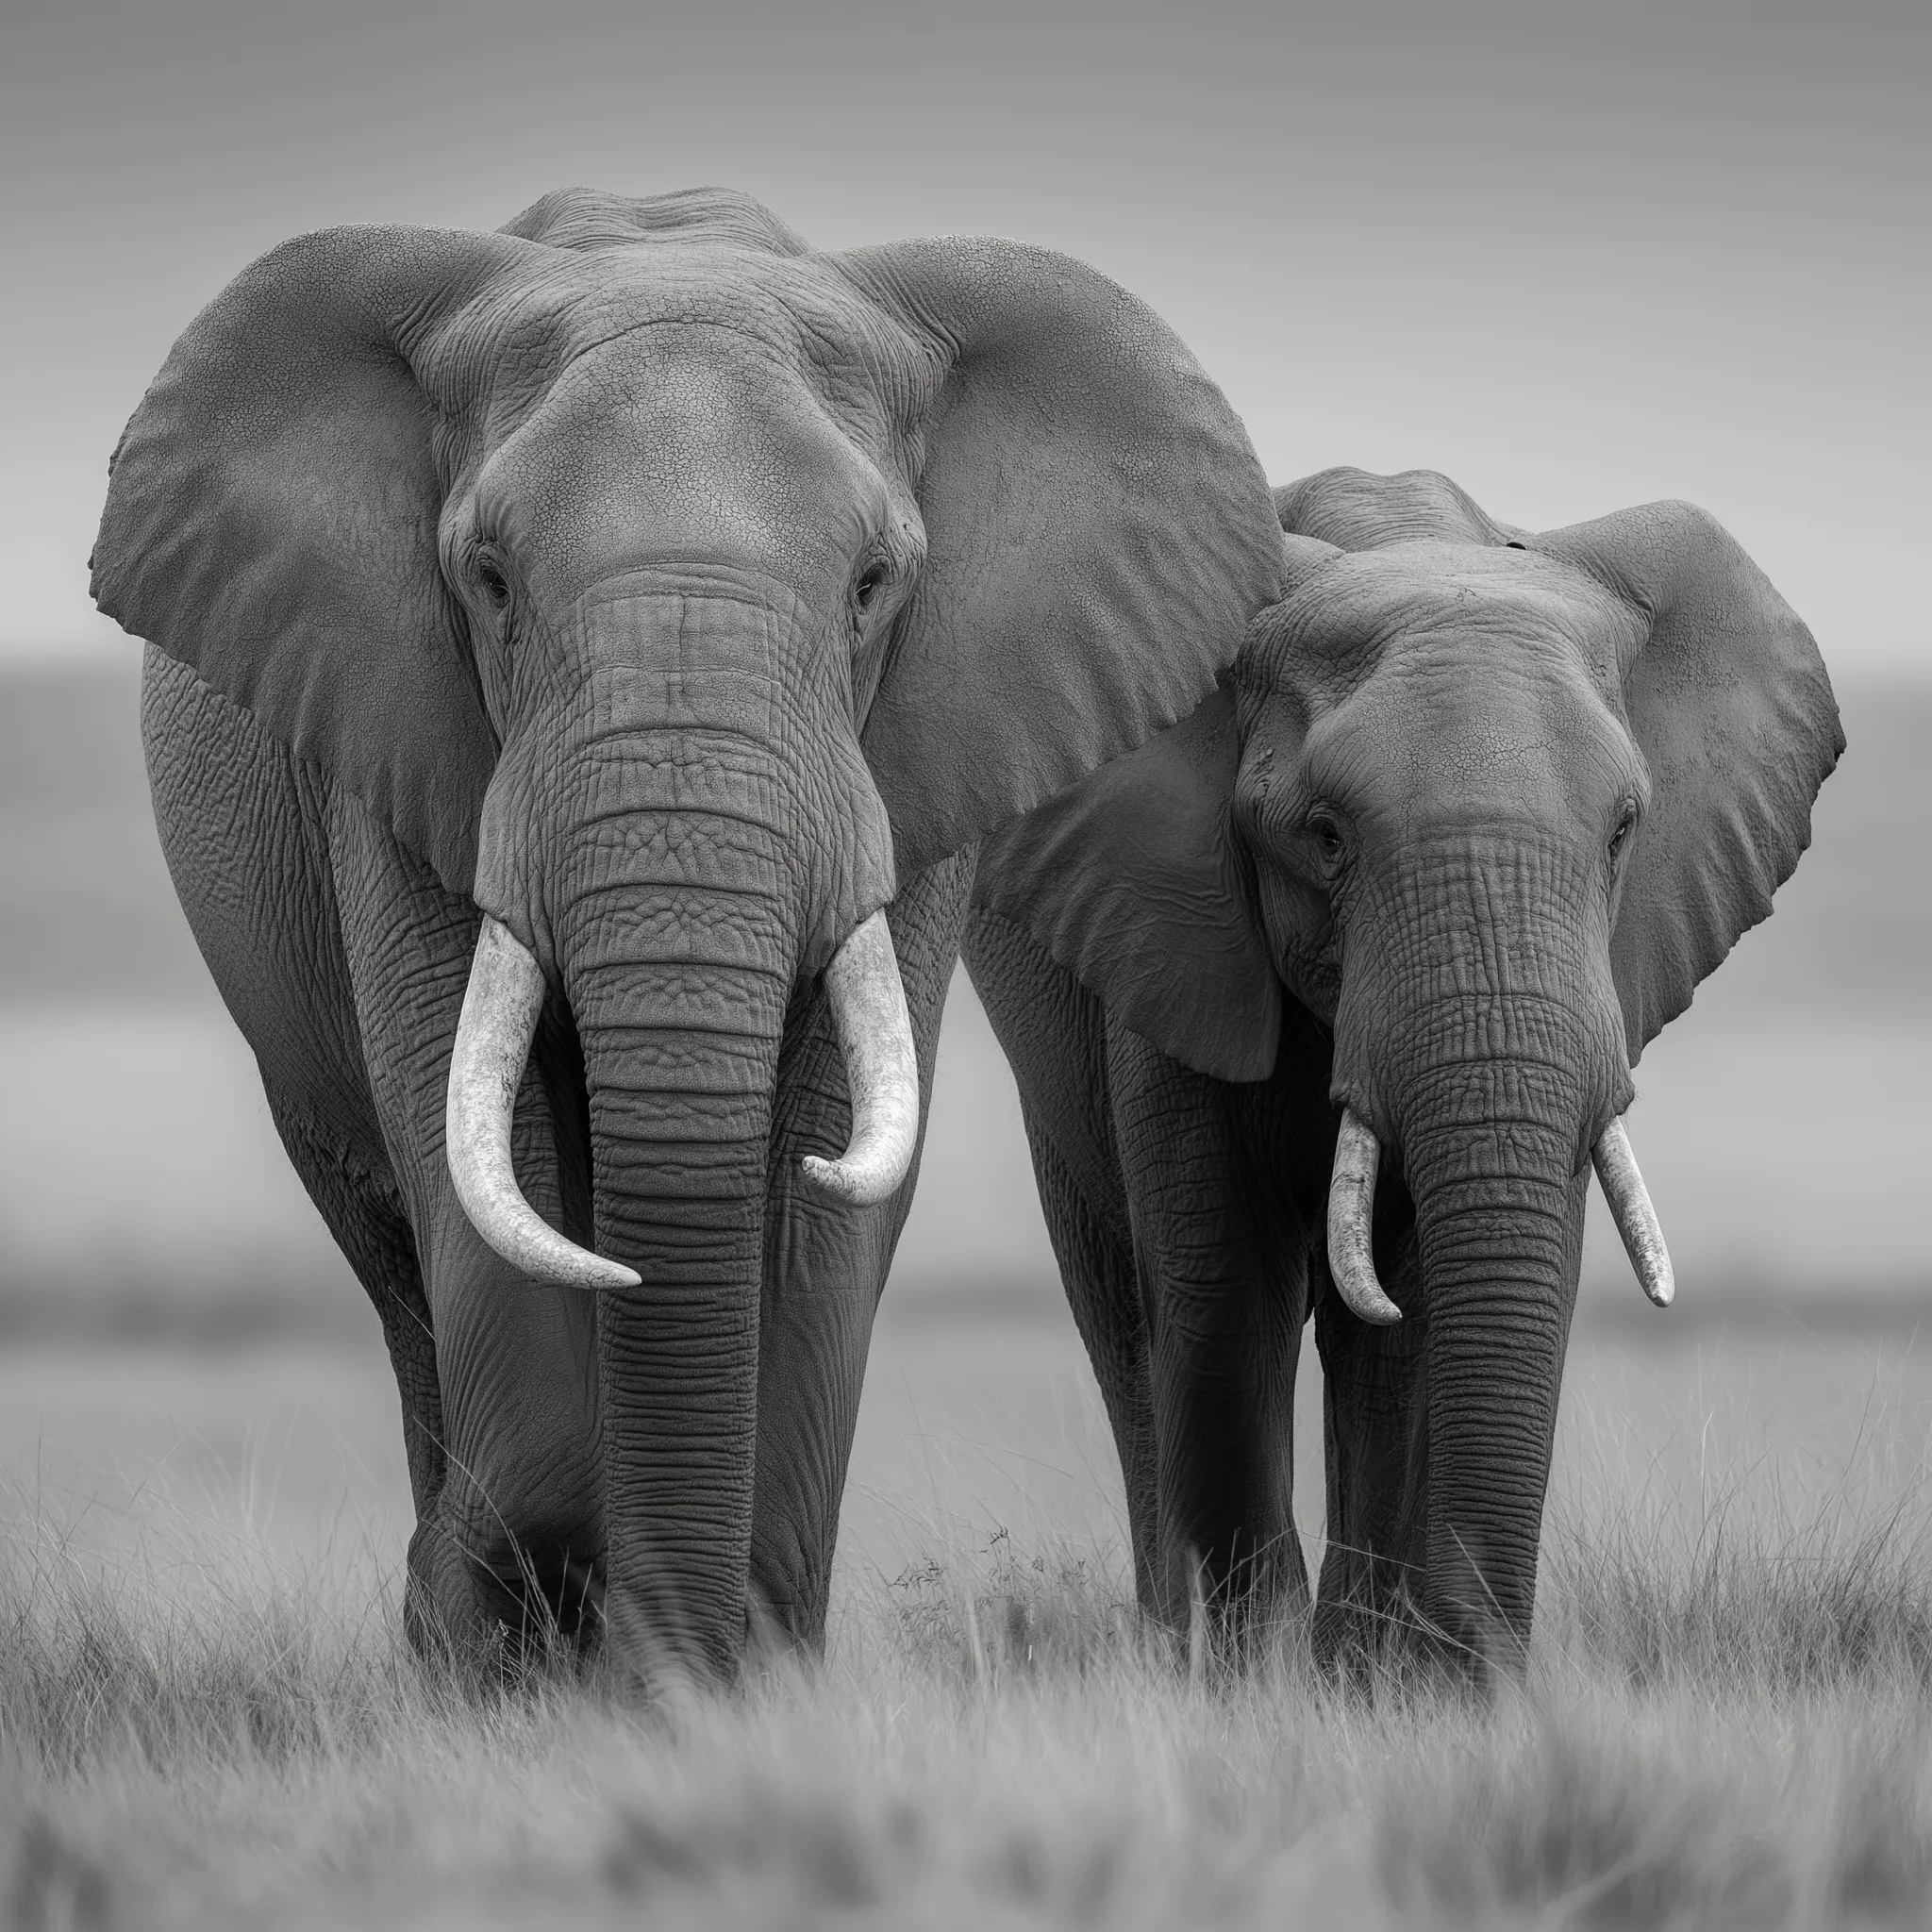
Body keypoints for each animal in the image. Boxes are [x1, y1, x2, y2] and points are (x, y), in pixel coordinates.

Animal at [89, 186, 1290, 1688]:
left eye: (873, 585)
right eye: (488, 580)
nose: (670, 1658)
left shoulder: (915, 766)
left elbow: (827, 1172)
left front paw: (731, 1682)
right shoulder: (398, 741)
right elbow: (475, 1150)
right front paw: (511, 1635)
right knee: (395, 1257)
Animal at [965, 465, 1841, 1679]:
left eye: (1624, 831)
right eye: (1325, 838)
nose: (1492, 1671)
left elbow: (1434, 1317)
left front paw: (1376, 1687)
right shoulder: (1173, 934)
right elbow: (1222, 1290)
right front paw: (1263, 1686)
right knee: (1126, 1326)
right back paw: (1174, 1652)